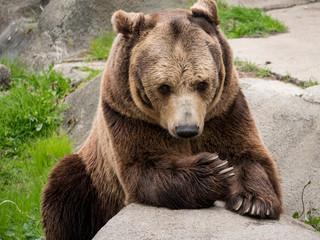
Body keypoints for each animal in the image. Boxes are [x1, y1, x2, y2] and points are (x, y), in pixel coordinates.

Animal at [40, 0, 282, 239]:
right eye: (164, 86)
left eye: (202, 83)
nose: (187, 129)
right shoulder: (129, 116)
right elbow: (144, 167)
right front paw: (214, 169)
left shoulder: (224, 111)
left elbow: (248, 155)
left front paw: (254, 202)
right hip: (95, 181)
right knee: (66, 190)